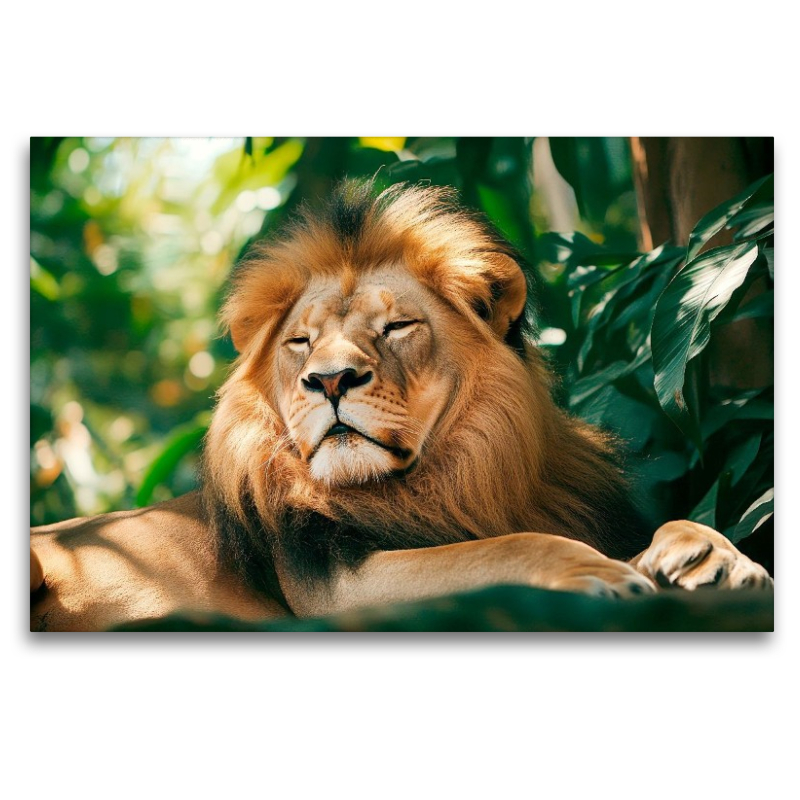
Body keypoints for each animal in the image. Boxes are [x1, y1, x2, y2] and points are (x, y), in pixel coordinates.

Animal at [30, 181, 772, 631]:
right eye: (301, 342)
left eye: (394, 328)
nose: (329, 380)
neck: (464, 474)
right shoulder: (334, 588)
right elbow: (496, 549)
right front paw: (592, 570)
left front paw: (709, 557)